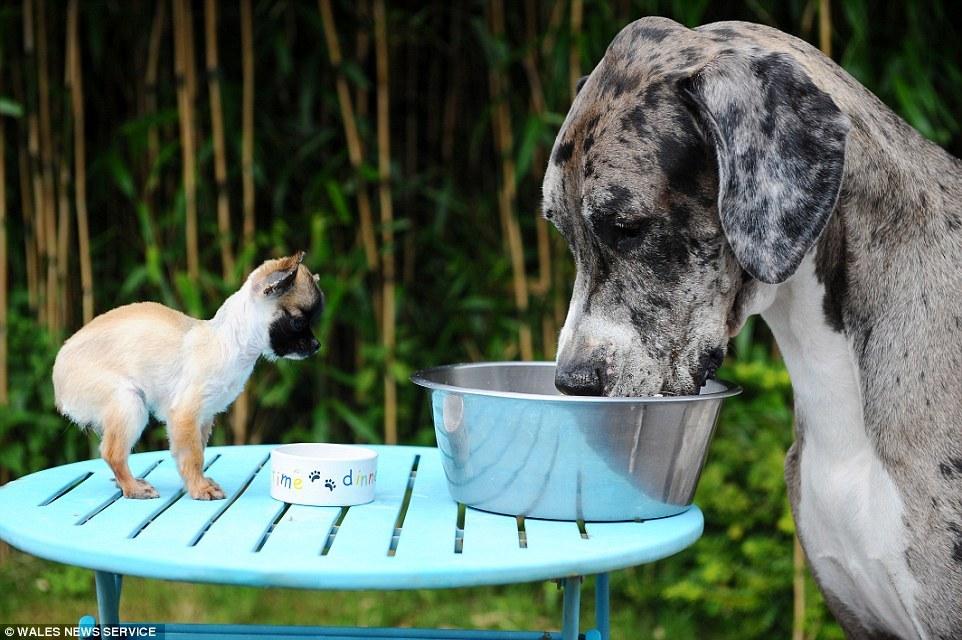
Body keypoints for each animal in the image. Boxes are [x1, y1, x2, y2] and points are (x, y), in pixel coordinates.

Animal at [52, 250, 322, 500]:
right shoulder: (185, 415)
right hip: (129, 403)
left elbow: (199, 452)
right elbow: (192, 456)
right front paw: (200, 488)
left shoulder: (204, 417)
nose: (317, 345)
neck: (230, 341)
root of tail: (58, 374)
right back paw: (133, 488)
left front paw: (200, 481)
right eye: (298, 323)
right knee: (112, 453)